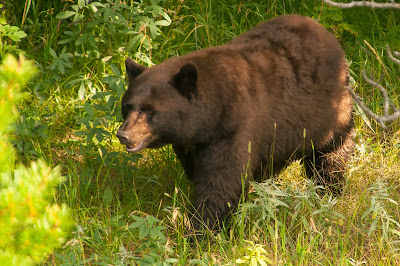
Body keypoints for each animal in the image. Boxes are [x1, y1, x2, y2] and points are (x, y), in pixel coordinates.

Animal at [115, 14, 354, 231]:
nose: (123, 135)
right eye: (128, 106)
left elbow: (222, 182)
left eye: (150, 110)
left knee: (330, 156)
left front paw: (201, 230)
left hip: (329, 117)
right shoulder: (191, 144)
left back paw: (329, 192)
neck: (210, 117)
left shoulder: (235, 128)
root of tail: (324, 32)